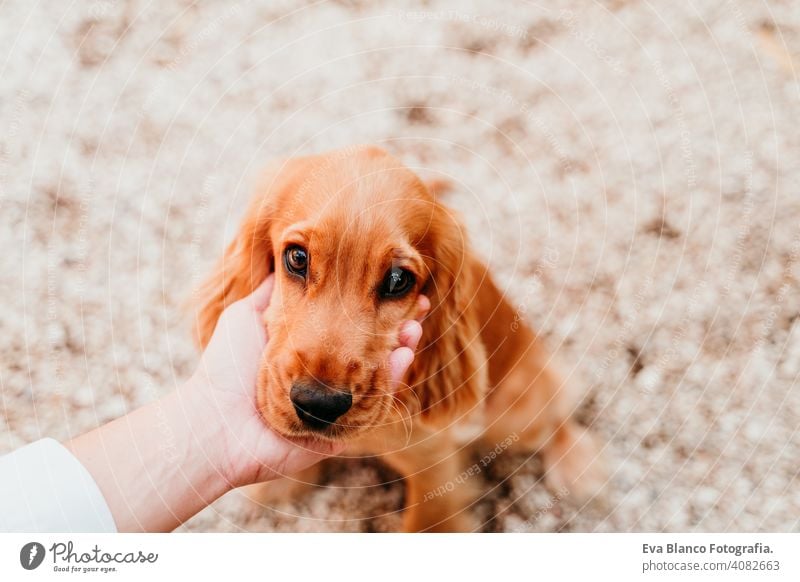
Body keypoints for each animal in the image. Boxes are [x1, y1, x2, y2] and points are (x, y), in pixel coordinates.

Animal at [197, 146, 604, 532]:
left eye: (397, 280)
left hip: (517, 413)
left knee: (556, 414)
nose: (318, 404)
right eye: (297, 258)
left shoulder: (433, 465)